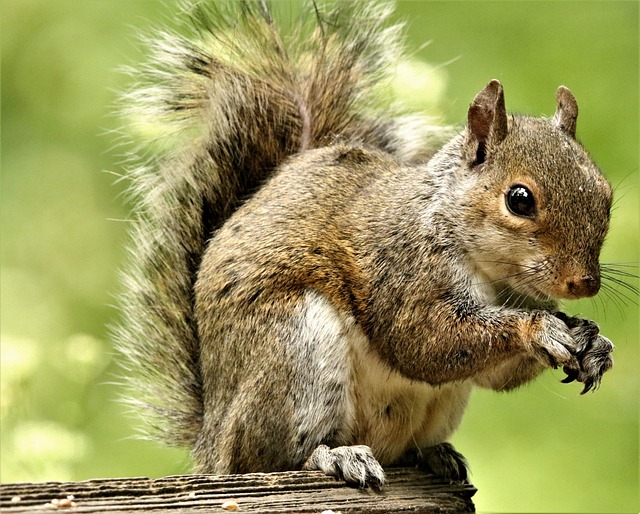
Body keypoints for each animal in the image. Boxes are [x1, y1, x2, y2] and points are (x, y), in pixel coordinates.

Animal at [116, 0, 615, 487]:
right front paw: (540, 328)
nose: (584, 284)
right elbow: (426, 342)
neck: (489, 268)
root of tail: (212, 442)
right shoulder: (401, 270)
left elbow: (494, 373)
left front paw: (591, 342)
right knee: (273, 457)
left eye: (606, 193)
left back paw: (433, 454)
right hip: (295, 352)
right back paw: (333, 456)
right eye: (519, 199)